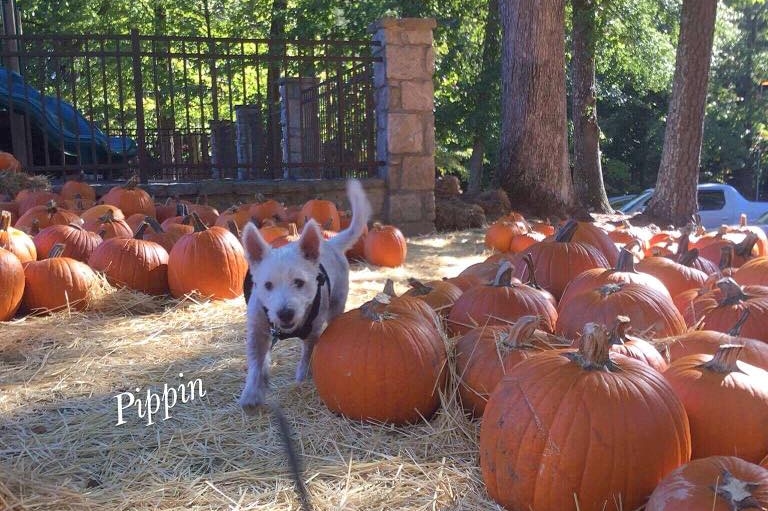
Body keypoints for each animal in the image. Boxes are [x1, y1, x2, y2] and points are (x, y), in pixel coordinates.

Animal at [240, 182, 372, 410]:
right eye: (267, 285)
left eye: (299, 283)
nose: (285, 313)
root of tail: (330, 244)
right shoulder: (257, 329)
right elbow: (256, 361)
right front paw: (252, 394)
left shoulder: (313, 330)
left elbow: (308, 353)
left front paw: (303, 377)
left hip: (337, 302)